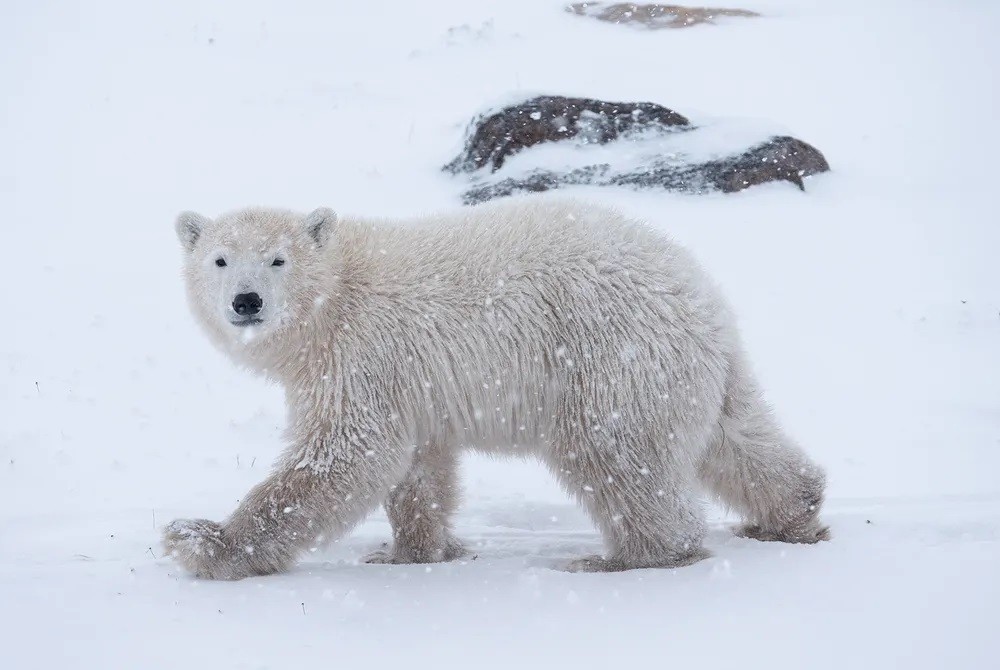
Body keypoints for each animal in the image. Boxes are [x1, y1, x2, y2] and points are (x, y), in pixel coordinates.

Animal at [164, 197, 828, 580]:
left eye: (277, 260)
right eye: (220, 260)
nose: (246, 301)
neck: (333, 299)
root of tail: (701, 295)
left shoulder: (361, 353)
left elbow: (345, 454)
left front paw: (204, 543)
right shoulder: (409, 381)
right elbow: (419, 467)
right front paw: (411, 553)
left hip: (610, 359)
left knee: (615, 455)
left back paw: (623, 557)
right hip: (686, 370)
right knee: (734, 436)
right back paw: (792, 512)